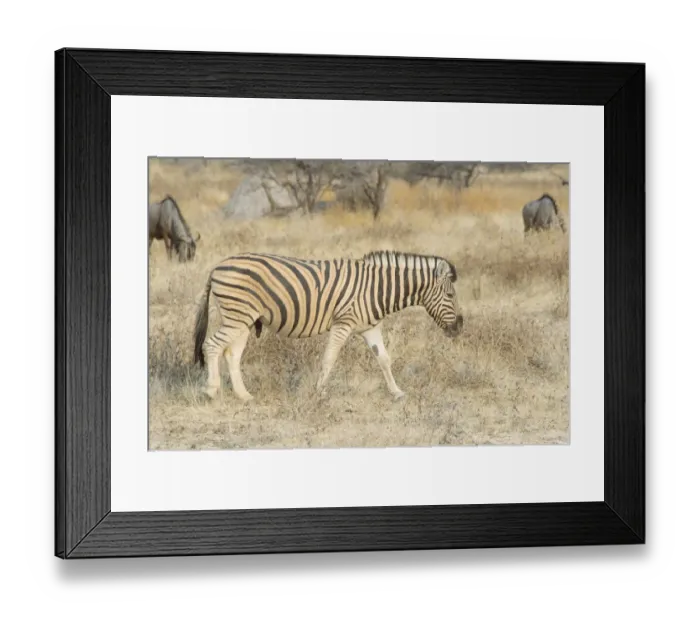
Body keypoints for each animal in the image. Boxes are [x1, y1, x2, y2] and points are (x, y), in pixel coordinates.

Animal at [192, 250, 464, 401]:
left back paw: (244, 395)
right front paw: (319, 392)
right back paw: (211, 390)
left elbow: (384, 359)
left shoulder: (370, 327)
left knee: (232, 354)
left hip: (243, 319)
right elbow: (329, 358)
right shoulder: (344, 322)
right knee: (212, 345)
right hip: (238, 315)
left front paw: (397, 392)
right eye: (451, 296)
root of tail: (217, 266)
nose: (460, 328)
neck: (377, 289)